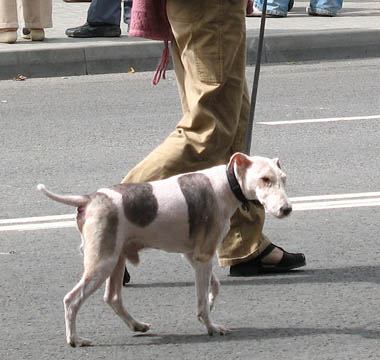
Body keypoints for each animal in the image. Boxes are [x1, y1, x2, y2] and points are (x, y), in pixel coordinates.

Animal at [37, 152, 290, 346]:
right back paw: (75, 340)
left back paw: (137, 325)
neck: (228, 184)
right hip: (102, 262)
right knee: (71, 300)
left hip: (116, 259)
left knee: (113, 298)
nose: (286, 209)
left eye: (283, 179)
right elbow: (201, 302)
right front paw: (211, 326)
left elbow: (214, 287)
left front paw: (210, 303)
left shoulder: (195, 255)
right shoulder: (203, 256)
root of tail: (89, 199)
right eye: (265, 179)